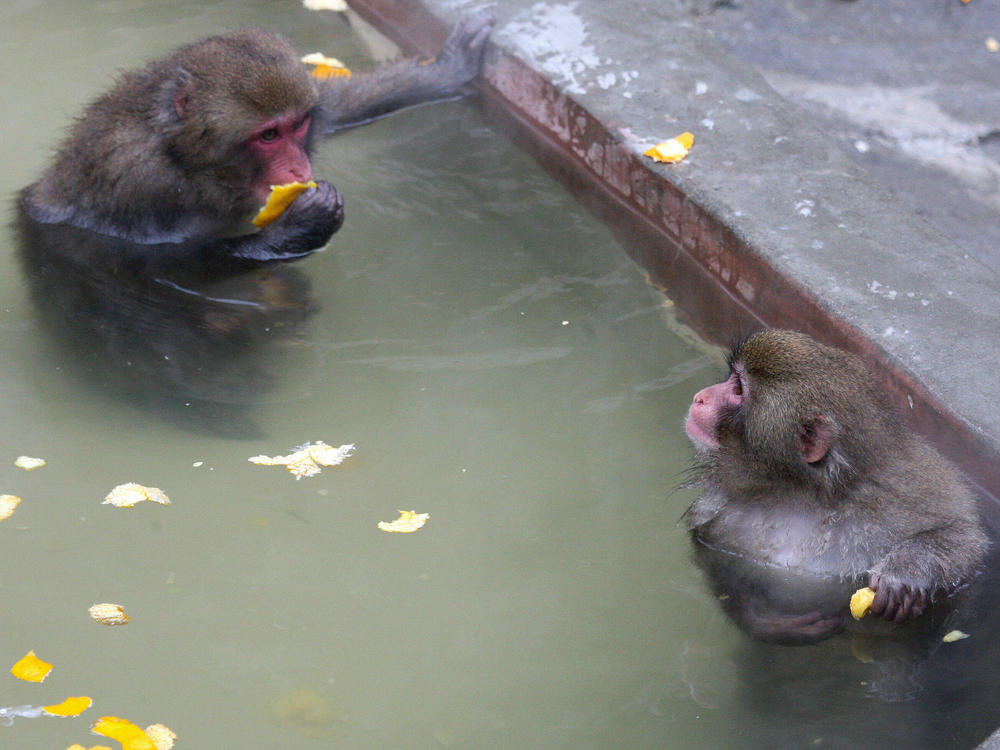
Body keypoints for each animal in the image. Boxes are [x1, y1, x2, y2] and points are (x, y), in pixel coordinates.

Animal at [684, 330, 988, 648]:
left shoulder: (900, 488)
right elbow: (717, 564)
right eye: (733, 378)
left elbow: (964, 538)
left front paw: (905, 575)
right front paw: (766, 622)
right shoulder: (719, 518)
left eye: (739, 389)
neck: (804, 495)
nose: (701, 397)